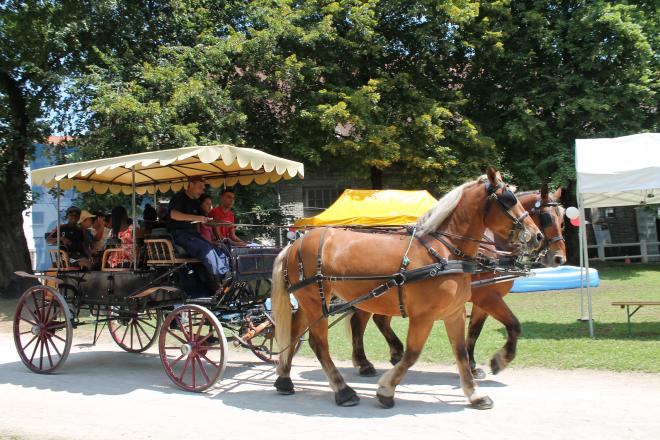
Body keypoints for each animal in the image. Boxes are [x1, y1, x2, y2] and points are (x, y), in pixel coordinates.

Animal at [270, 169, 544, 410]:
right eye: (509, 199)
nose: (537, 236)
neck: (444, 251)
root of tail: (294, 244)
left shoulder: (454, 312)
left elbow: (461, 353)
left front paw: (475, 394)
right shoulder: (425, 316)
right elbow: (412, 354)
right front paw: (386, 390)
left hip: (313, 302)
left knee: (294, 332)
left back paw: (284, 379)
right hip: (317, 302)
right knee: (319, 344)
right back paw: (343, 390)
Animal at [350, 185, 568, 378]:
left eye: (563, 219)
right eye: (547, 217)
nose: (559, 258)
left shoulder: (482, 301)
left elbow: (474, 332)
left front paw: (472, 365)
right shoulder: (487, 296)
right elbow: (512, 324)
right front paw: (497, 361)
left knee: (380, 320)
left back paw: (396, 354)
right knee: (358, 322)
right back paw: (363, 363)